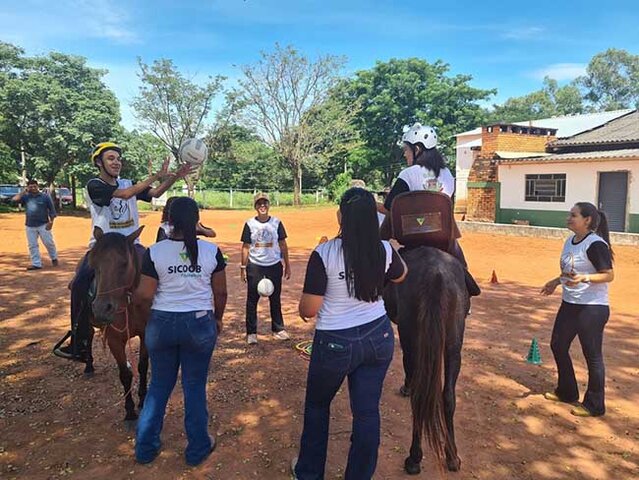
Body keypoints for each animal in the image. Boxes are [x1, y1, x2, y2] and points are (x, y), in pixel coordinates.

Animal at [87, 225, 151, 428]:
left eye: (124, 263)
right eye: (94, 264)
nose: (101, 309)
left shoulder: (146, 334)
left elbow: (143, 366)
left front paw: (143, 400)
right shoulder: (114, 339)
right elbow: (124, 374)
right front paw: (129, 411)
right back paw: (88, 366)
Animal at [384, 246, 470, 474]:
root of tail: (436, 274)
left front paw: (405, 387)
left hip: (412, 338)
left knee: (419, 395)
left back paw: (414, 459)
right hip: (453, 345)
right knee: (448, 396)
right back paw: (452, 457)